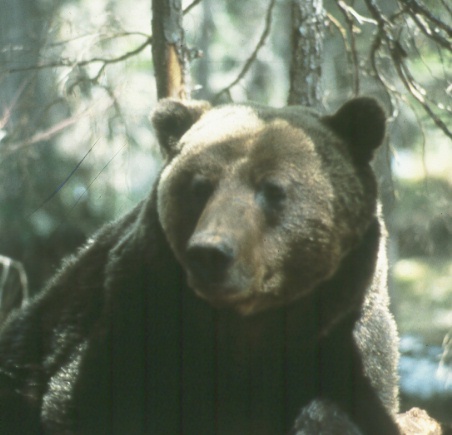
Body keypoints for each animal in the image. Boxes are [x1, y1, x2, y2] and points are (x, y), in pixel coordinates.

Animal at [0, 97, 400, 434]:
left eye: (272, 189)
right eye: (200, 186)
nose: (211, 252)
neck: (245, 325)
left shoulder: (344, 333)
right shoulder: (135, 317)